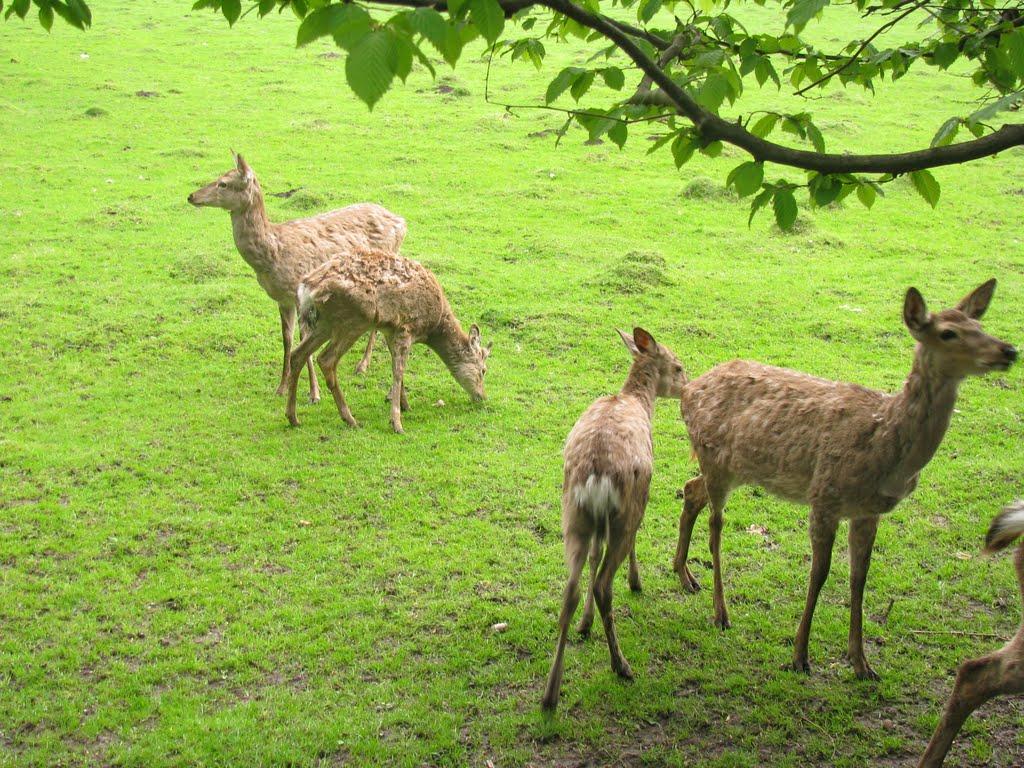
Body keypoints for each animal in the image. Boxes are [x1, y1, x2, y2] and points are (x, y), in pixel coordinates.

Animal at [187, 153, 407, 402]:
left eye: (223, 183)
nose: (191, 196)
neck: (273, 254)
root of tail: (402, 221)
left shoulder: (300, 292)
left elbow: (303, 340)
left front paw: (314, 393)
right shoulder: (282, 299)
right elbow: (287, 339)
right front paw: (282, 387)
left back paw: (363, 365)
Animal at [284, 249, 490, 433]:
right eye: (483, 370)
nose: (482, 396)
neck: (433, 327)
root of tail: (307, 290)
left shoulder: (390, 330)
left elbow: (397, 366)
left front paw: (405, 405)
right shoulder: (407, 328)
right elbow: (398, 371)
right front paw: (397, 423)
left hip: (326, 323)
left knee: (298, 354)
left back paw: (293, 417)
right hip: (353, 320)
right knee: (326, 359)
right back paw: (350, 419)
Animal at [541, 328, 687, 711]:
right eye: (678, 366)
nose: (687, 385)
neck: (635, 401)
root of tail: (596, 476)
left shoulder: (595, 523)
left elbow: (593, 557)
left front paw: (586, 623)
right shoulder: (643, 497)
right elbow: (634, 544)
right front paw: (637, 581)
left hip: (573, 515)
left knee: (571, 589)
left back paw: (550, 694)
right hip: (624, 511)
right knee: (604, 582)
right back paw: (621, 665)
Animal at [673, 280, 1016, 680]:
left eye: (980, 325)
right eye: (949, 333)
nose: (1009, 350)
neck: (885, 449)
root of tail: (686, 390)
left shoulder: (868, 511)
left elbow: (860, 577)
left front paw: (862, 662)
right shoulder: (825, 497)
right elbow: (819, 573)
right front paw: (799, 656)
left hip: (733, 467)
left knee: (690, 490)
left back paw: (684, 574)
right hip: (715, 458)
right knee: (716, 526)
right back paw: (721, 612)